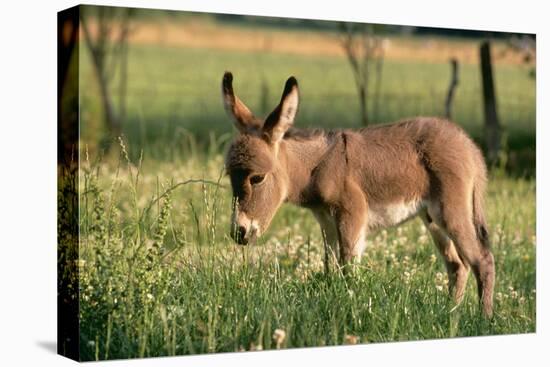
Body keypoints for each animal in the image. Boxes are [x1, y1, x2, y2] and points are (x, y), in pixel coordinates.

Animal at [222, 72, 498, 320]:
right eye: (229, 176)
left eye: (257, 178)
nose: (239, 233)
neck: (318, 167)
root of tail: (469, 146)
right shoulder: (326, 222)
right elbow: (330, 268)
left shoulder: (352, 214)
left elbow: (348, 269)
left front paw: (349, 308)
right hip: (431, 219)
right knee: (458, 266)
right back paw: (451, 314)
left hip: (451, 211)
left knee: (482, 260)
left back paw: (483, 320)